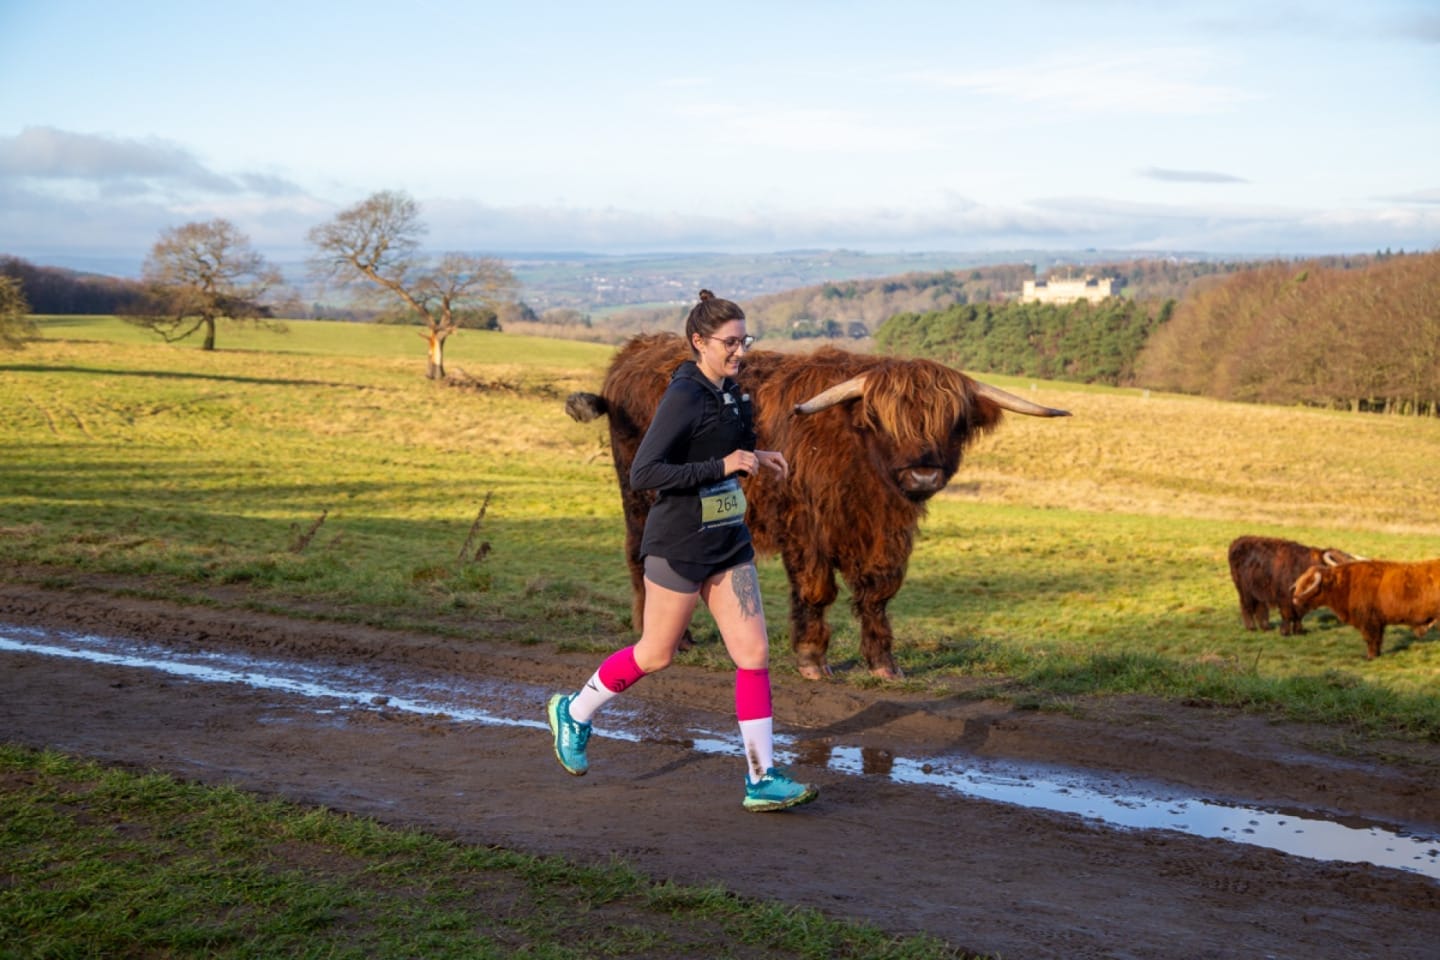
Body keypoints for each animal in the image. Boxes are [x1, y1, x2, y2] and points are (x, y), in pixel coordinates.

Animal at [565, 332, 1070, 680]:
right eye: (881, 419)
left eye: (955, 422)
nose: (923, 475)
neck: (864, 473)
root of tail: (635, 350)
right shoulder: (805, 527)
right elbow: (816, 590)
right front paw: (811, 659)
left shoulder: (888, 533)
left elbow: (878, 592)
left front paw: (883, 661)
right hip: (640, 501)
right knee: (641, 560)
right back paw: (669, 635)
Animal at [1227, 536, 1359, 636]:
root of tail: (1237, 541)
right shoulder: (1284, 597)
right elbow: (1287, 614)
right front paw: (1285, 632)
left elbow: (1298, 615)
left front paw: (1299, 631)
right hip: (1244, 590)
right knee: (1246, 606)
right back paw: (1251, 627)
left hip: (1259, 590)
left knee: (1261, 607)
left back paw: (1265, 627)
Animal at [1290, 559, 1440, 659]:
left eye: (1309, 582)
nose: (1294, 599)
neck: (1346, 584)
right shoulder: (1378, 623)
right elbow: (1376, 640)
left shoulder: (1369, 622)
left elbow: (1371, 639)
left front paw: (1370, 656)